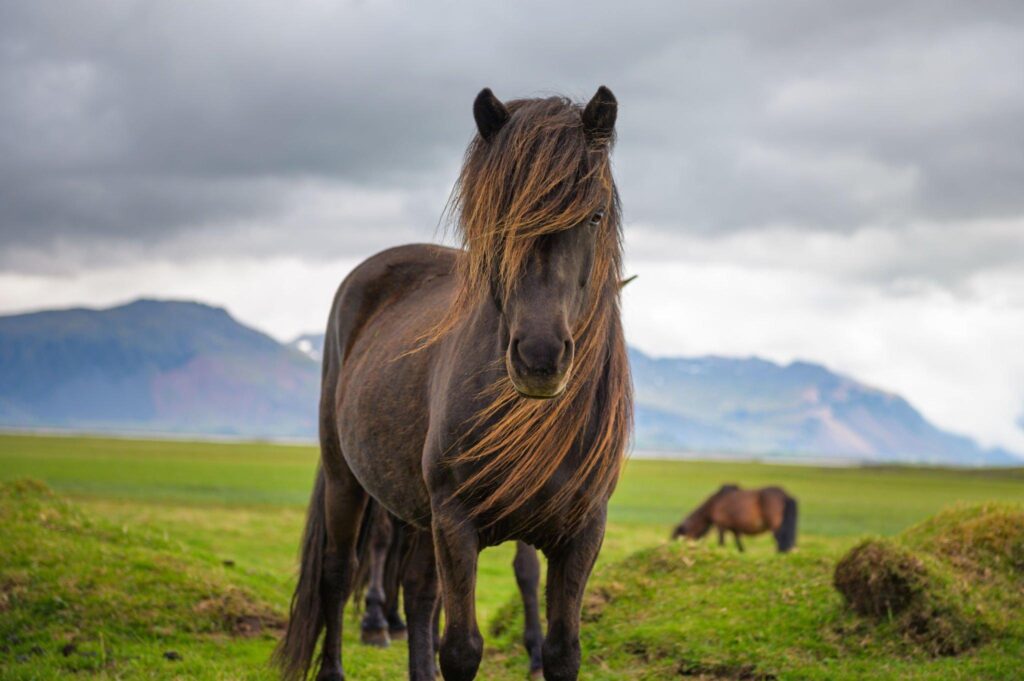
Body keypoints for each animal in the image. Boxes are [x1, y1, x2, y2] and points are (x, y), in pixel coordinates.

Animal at [278, 86, 630, 679]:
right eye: (499, 218)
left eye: (595, 215)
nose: (539, 356)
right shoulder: (456, 524)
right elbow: (462, 648)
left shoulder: (582, 531)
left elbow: (562, 649)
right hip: (348, 480)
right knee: (339, 571)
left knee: (419, 592)